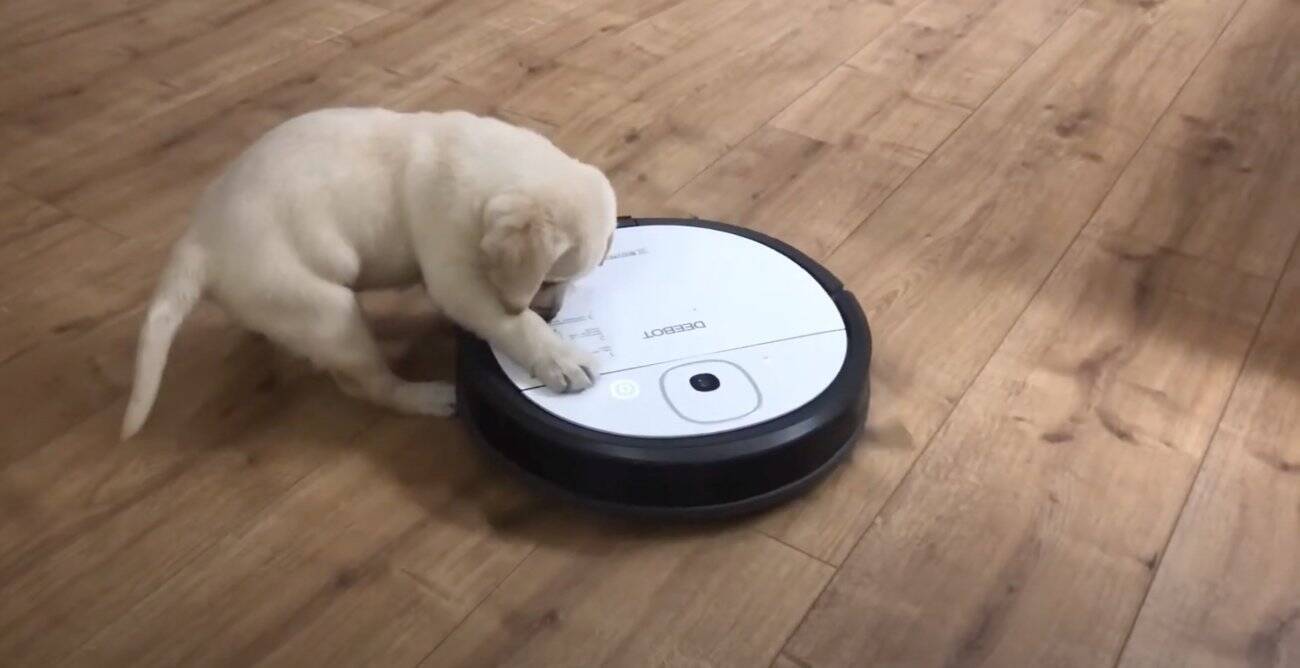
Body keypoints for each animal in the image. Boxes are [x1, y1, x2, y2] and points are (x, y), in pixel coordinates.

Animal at [121, 108, 616, 440]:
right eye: (550, 280)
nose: (553, 314)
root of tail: (199, 240)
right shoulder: (454, 277)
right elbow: (510, 320)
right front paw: (559, 355)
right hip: (328, 312)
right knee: (371, 386)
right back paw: (428, 397)